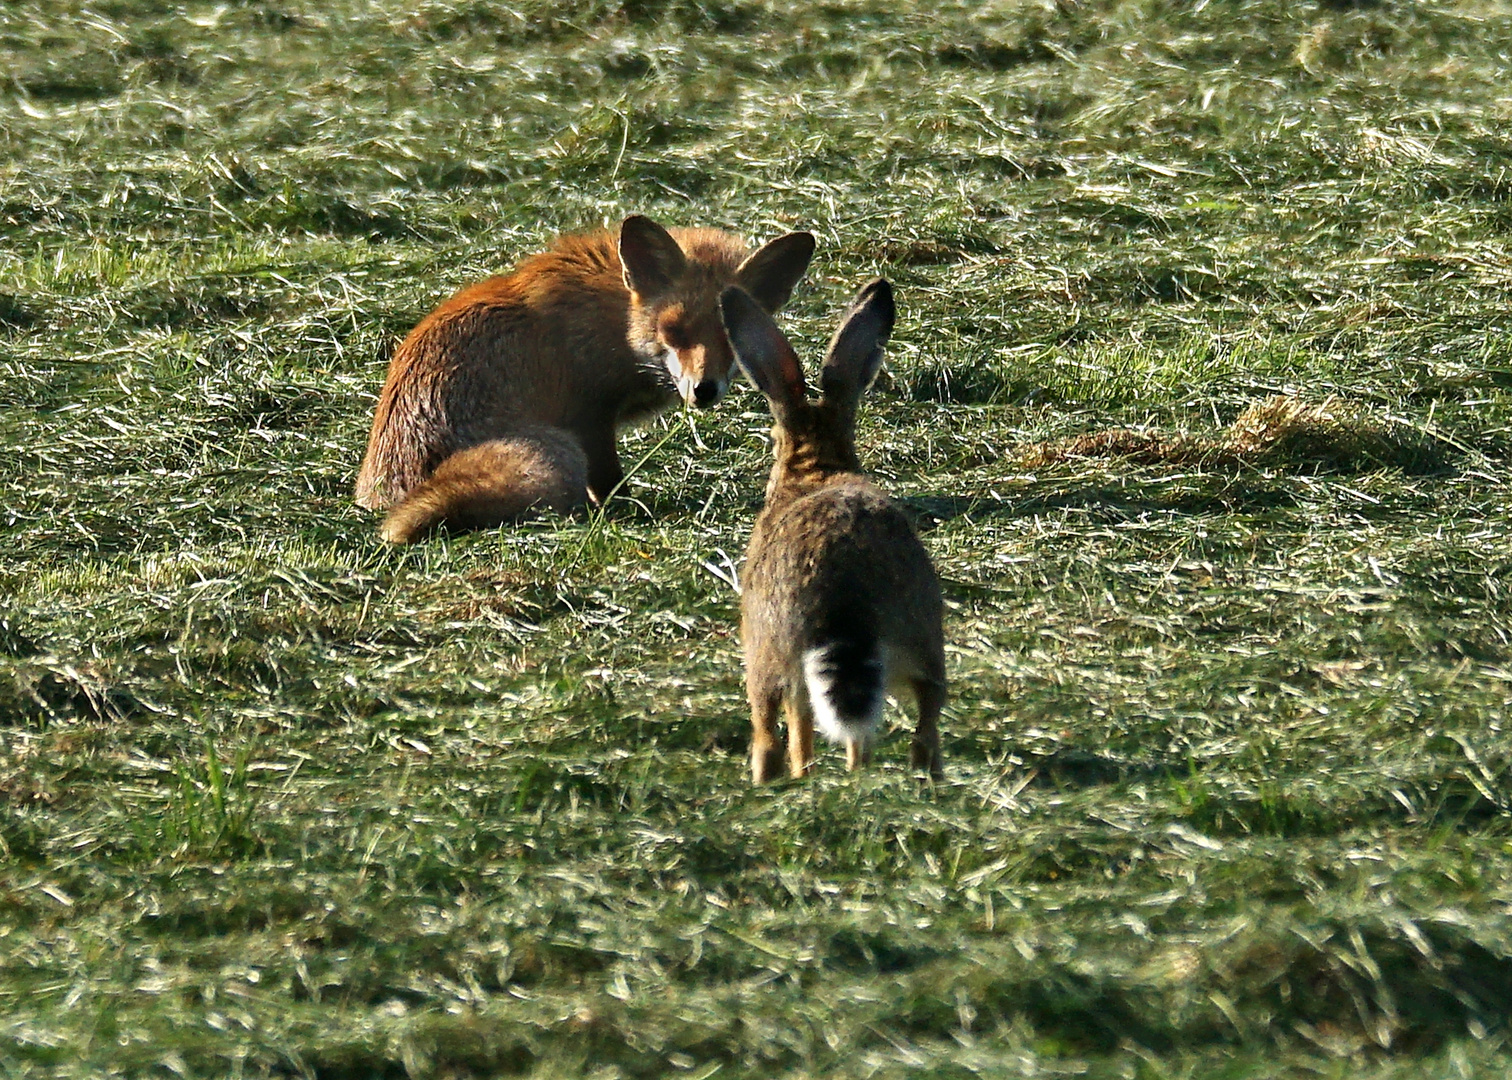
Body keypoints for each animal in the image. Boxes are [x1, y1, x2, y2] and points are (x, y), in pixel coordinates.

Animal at [353, 214, 816, 541]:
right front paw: (626, 510)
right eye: (674, 331)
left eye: (729, 335)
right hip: (559, 455)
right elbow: (611, 481)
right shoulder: (588, 416)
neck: (617, 324)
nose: (703, 389)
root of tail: (385, 494)